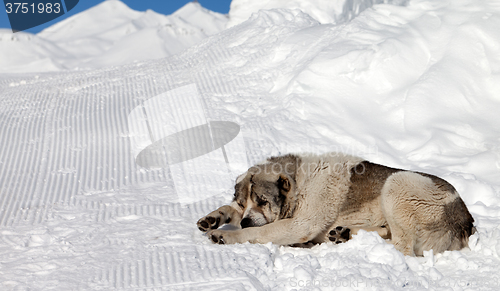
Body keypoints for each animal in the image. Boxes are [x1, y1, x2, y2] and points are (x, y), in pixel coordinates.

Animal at [195, 154, 472, 256]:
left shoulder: (300, 224)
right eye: (244, 202)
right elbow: (230, 211)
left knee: (402, 248)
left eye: (263, 201)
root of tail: (467, 222)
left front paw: (225, 236)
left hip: (398, 183)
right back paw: (342, 234)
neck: (301, 185)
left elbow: (259, 232)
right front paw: (214, 218)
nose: (245, 220)